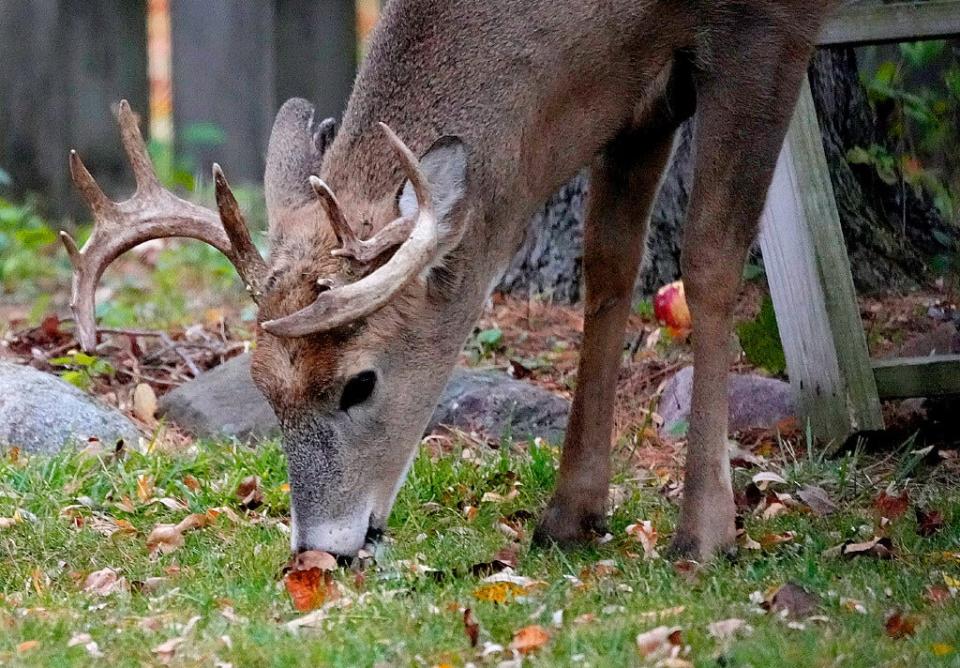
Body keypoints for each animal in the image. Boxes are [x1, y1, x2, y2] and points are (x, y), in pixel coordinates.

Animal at [62, 0, 840, 564]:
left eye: (359, 383)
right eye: (262, 388)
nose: (320, 552)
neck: (625, 18)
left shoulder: (764, 28)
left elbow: (710, 256)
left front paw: (705, 536)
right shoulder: (644, 95)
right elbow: (608, 260)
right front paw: (570, 516)